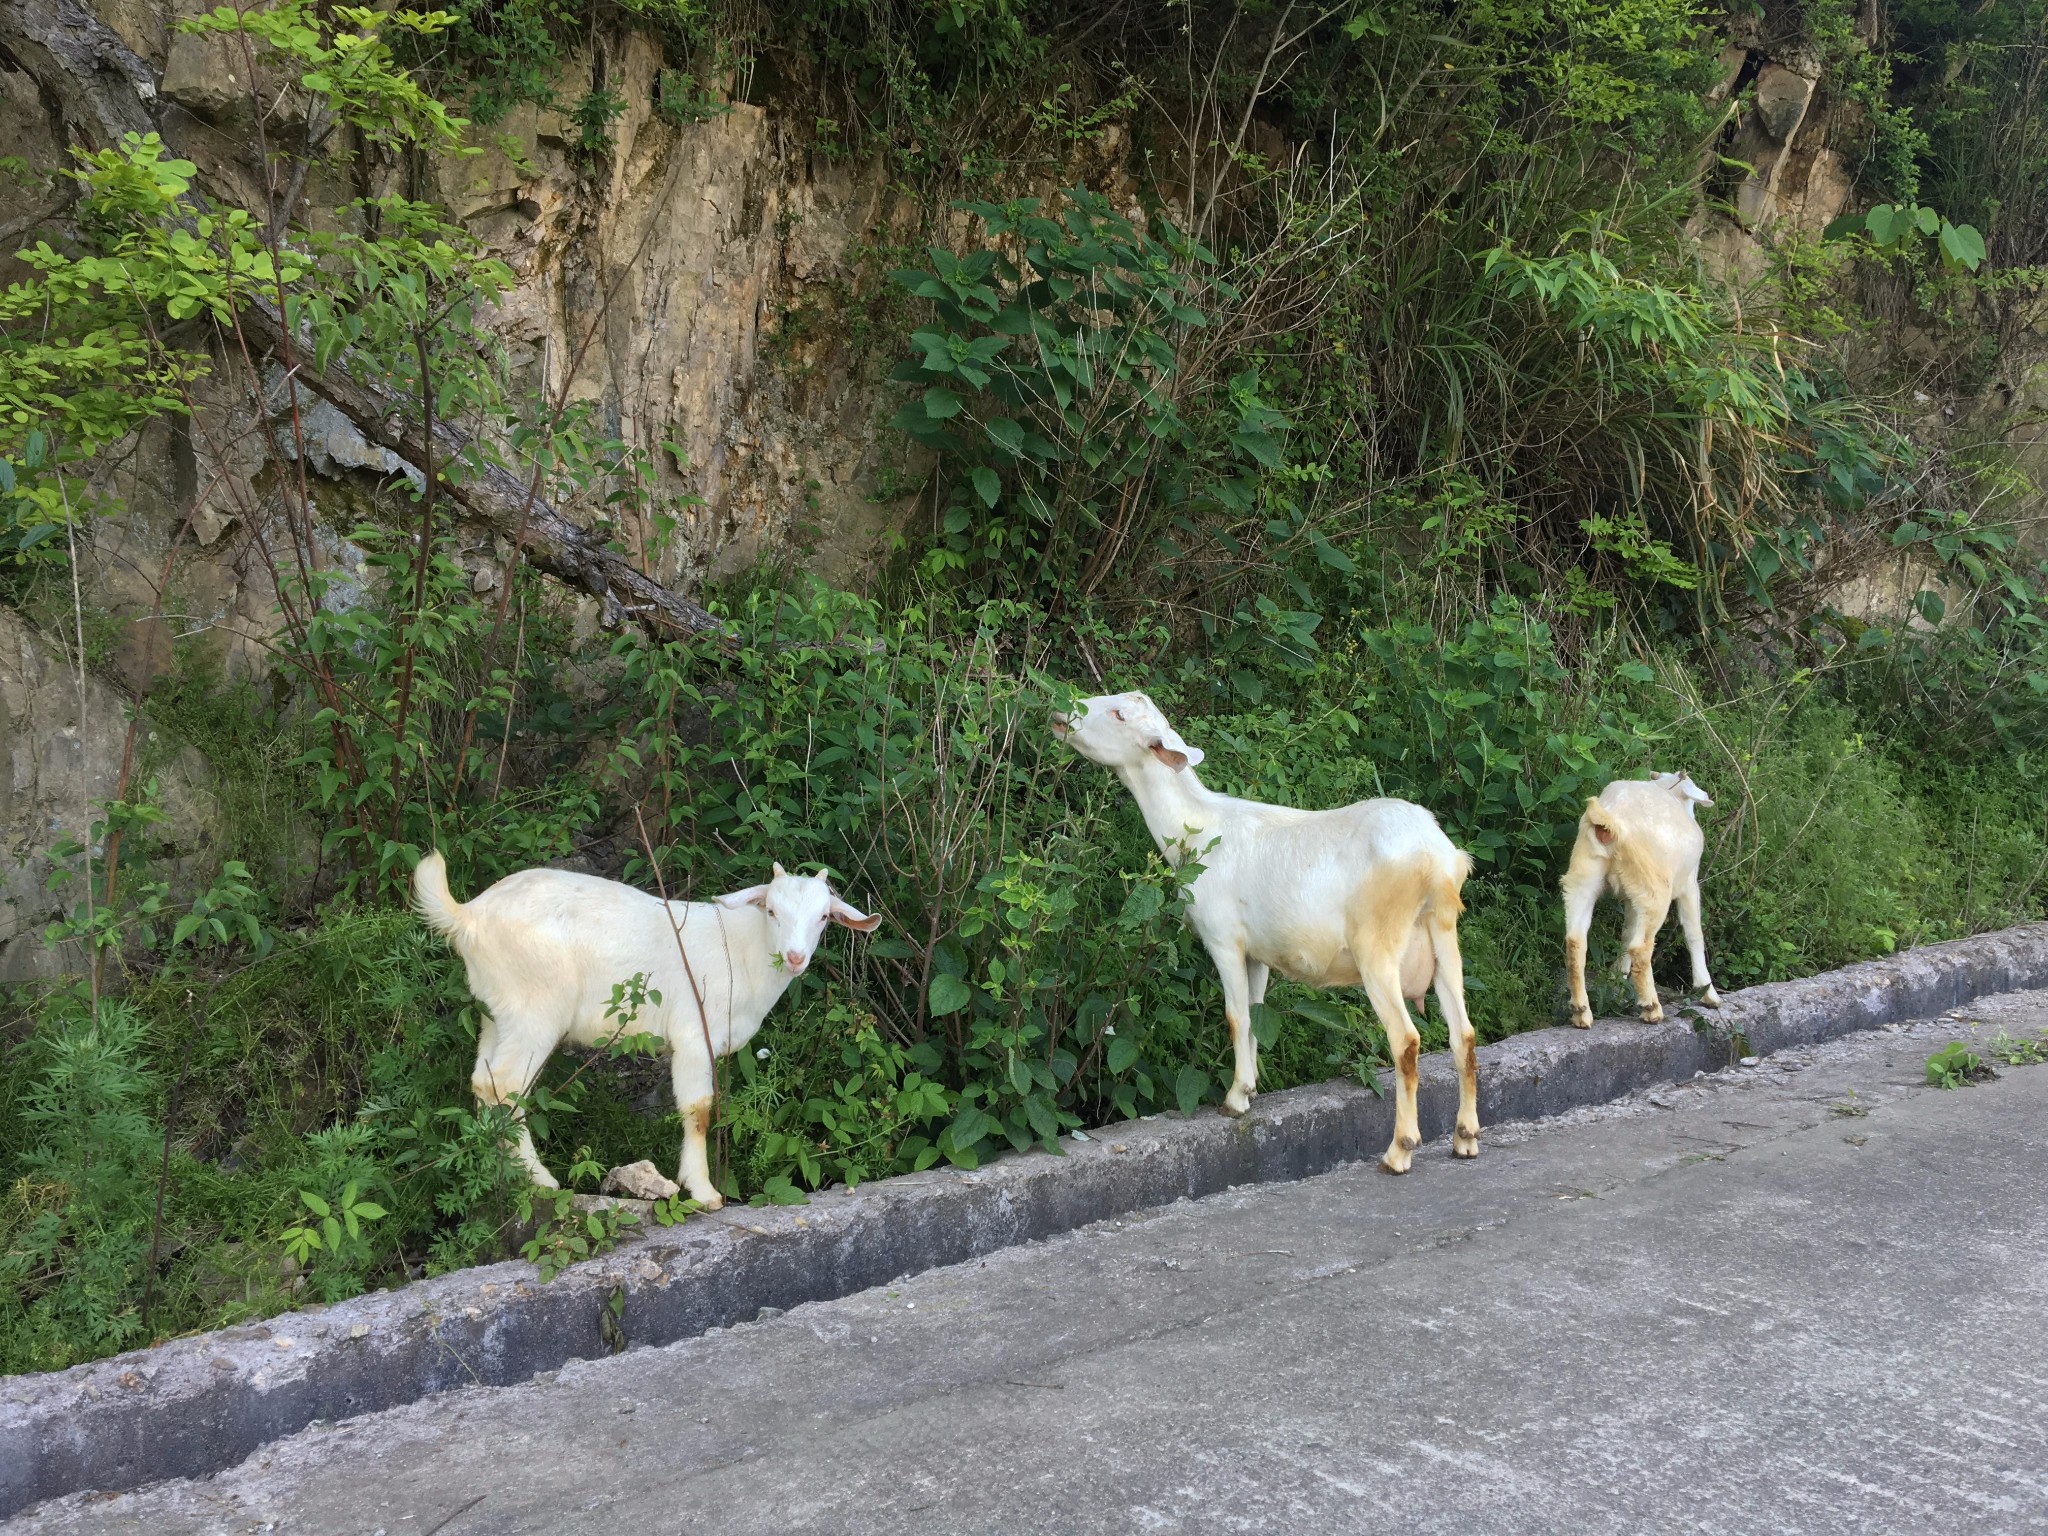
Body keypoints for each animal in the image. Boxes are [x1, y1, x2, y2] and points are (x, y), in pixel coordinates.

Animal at [413, 856, 880, 1212]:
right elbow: (699, 1109)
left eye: (823, 917)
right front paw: (704, 1191)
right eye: (771, 911)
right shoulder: (694, 1033)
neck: (741, 952)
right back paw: (538, 1180)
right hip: (535, 1008)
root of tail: (467, 916)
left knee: (483, 1080)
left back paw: (499, 1176)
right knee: (508, 1086)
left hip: (497, 1013)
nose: (796, 957)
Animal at [1056, 696, 1474, 1179]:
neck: (1197, 827)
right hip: (1444, 936)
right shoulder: (1257, 954)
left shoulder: (1223, 939)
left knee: (1405, 1041)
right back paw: (1466, 1139)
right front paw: (1250, 1089)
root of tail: (1439, 859)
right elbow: (1255, 1017)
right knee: (1463, 1034)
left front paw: (1234, 1101)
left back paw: (1399, 1151)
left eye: (1119, 715)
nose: (1061, 713)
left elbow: (1236, 1016)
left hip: (1378, 947)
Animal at [1556, 770, 1720, 1036]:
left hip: (1584, 877)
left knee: (1575, 941)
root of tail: (1612, 819)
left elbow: (1626, 932)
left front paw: (1617, 975)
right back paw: (1651, 1008)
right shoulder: (1689, 884)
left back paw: (1581, 1012)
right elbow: (1694, 934)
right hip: (1654, 890)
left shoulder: (1632, 899)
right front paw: (1709, 994)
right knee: (1640, 947)